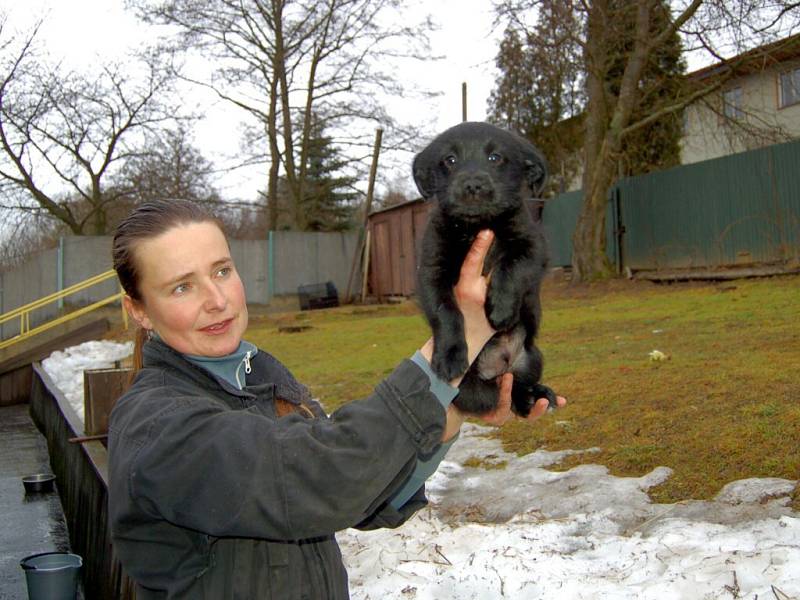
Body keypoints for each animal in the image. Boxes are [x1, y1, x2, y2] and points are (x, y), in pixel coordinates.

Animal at [412, 119, 556, 414]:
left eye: (495, 157)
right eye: (450, 160)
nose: (473, 185)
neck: (474, 226)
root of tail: (496, 366)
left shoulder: (533, 246)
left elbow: (511, 268)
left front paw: (500, 309)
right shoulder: (431, 269)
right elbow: (446, 311)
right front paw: (449, 356)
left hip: (532, 358)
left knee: (516, 388)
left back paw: (534, 395)